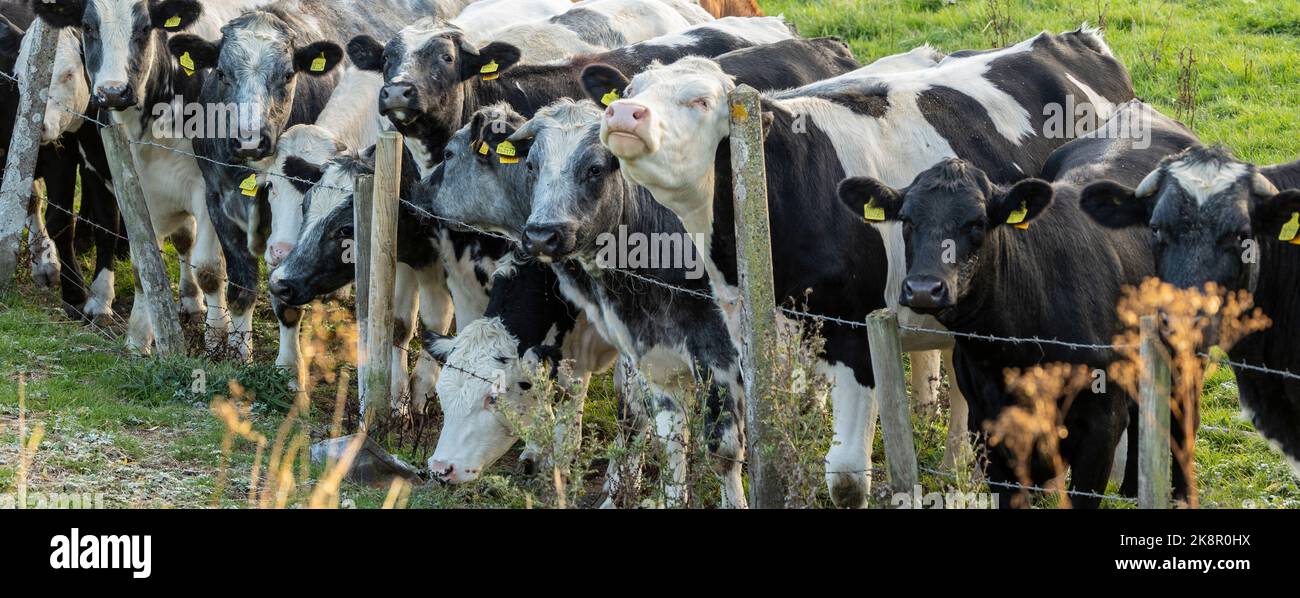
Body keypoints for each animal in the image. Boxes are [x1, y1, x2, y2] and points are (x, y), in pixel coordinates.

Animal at [31, 0, 274, 356]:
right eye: (88, 27)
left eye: (146, 28)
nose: (113, 92)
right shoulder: (117, 178)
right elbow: (137, 254)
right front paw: (131, 330)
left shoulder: (208, 187)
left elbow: (209, 266)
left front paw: (214, 335)